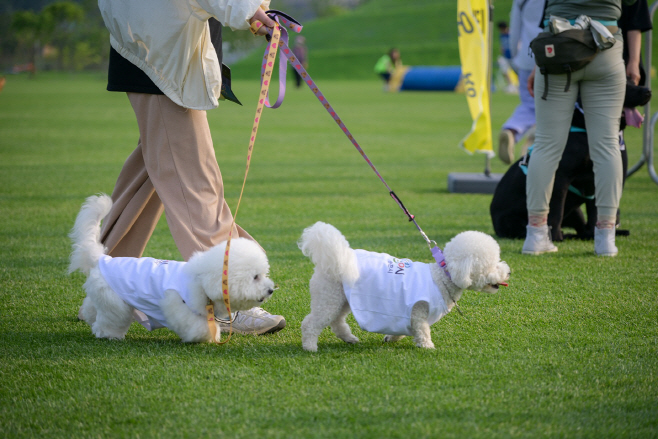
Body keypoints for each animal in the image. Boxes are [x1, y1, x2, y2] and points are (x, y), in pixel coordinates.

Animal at [66, 195, 272, 344]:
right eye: (255, 277)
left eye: (263, 275)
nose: (271, 289)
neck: (201, 280)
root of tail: (102, 258)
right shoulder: (178, 306)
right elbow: (196, 326)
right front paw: (206, 336)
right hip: (117, 303)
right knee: (109, 321)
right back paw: (108, 335)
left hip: (106, 296)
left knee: (92, 307)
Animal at [298, 222, 508, 352]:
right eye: (491, 264)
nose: (508, 272)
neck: (441, 277)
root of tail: (330, 260)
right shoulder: (418, 311)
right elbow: (422, 330)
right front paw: (427, 346)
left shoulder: (405, 314)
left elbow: (402, 330)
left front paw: (391, 339)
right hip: (329, 297)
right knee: (311, 323)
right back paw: (310, 347)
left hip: (341, 298)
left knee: (336, 321)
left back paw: (348, 338)